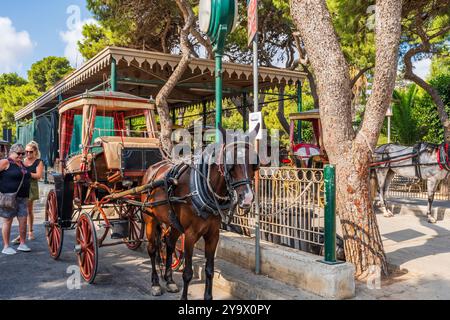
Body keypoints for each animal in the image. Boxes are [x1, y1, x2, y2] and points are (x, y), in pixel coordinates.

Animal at [141, 125, 260, 300]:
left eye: (254, 164)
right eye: (230, 164)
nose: (247, 198)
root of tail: (152, 169)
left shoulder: (213, 235)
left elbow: (209, 270)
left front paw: (208, 297)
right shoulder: (190, 235)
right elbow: (188, 273)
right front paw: (184, 298)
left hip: (174, 222)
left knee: (169, 244)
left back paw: (169, 281)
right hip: (150, 218)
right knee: (152, 248)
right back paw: (155, 284)